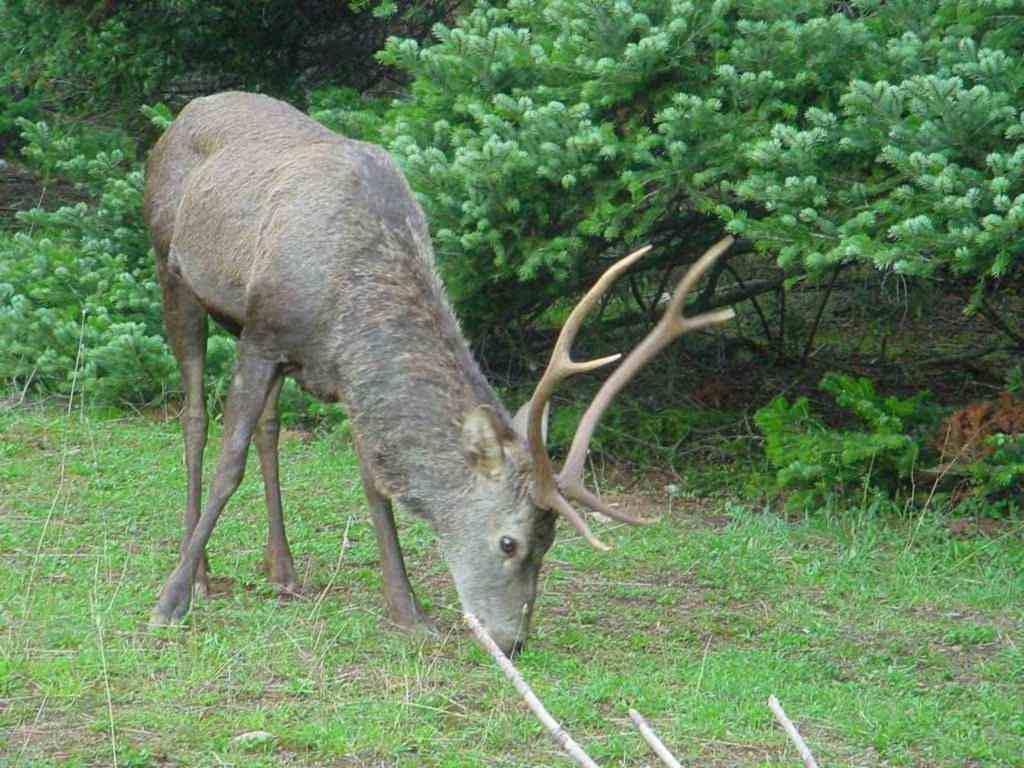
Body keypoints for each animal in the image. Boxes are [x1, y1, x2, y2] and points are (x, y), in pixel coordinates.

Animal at [144, 91, 737, 655]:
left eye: (549, 543)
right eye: (509, 541)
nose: (513, 640)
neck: (346, 303)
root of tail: (182, 115)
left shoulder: (344, 375)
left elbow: (375, 483)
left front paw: (408, 610)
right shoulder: (265, 336)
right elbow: (230, 464)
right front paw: (169, 602)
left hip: (241, 322)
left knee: (269, 429)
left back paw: (282, 570)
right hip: (174, 269)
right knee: (194, 417)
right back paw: (199, 574)